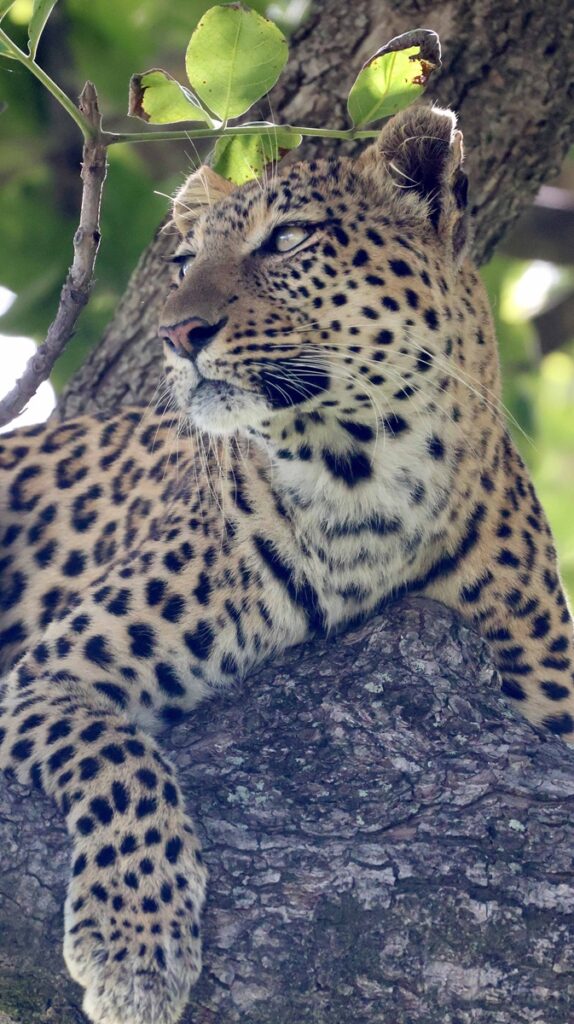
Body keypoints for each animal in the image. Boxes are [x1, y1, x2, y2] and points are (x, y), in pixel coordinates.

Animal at [1, 105, 573, 1024]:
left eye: (289, 240)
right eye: (184, 263)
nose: (176, 333)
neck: (362, 484)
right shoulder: (52, 673)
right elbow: (123, 766)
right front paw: (135, 949)